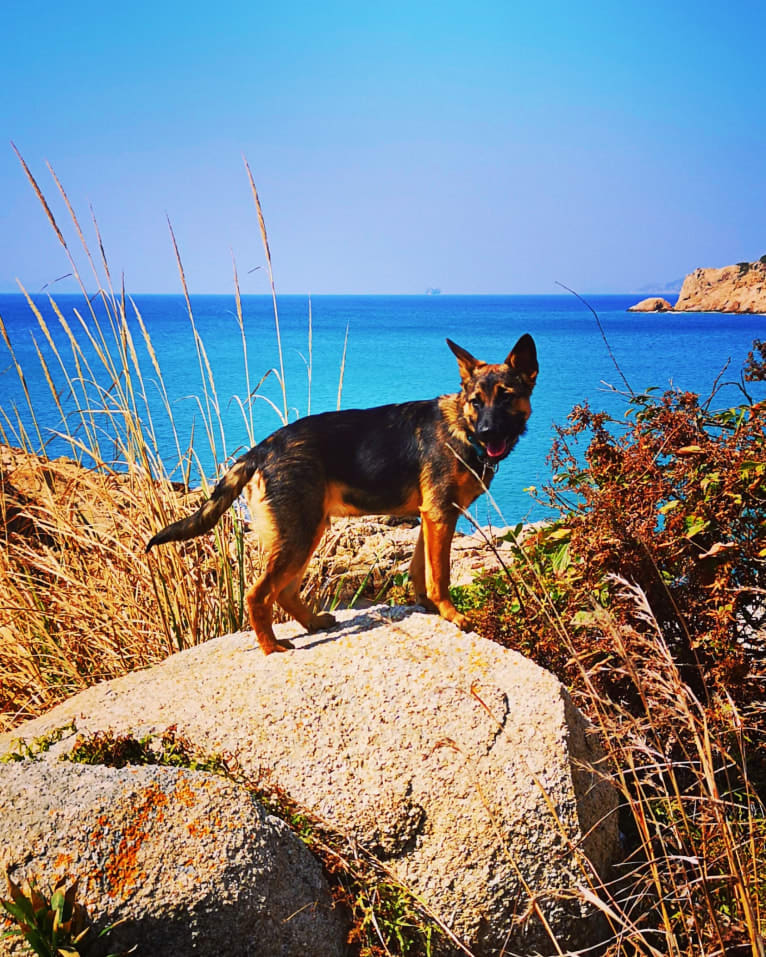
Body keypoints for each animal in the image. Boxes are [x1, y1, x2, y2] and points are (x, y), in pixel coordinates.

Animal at [146, 332, 540, 652]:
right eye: (476, 401)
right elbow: (440, 574)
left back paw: (313, 623)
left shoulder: (431, 517)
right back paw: (272, 648)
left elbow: (420, 570)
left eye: (506, 398)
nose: (488, 433)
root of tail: (263, 449)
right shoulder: (442, 514)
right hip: (297, 535)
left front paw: (428, 607)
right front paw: (451, 614)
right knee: (258, 595)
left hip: (307, 532)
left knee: (284, 591)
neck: (463, 427)